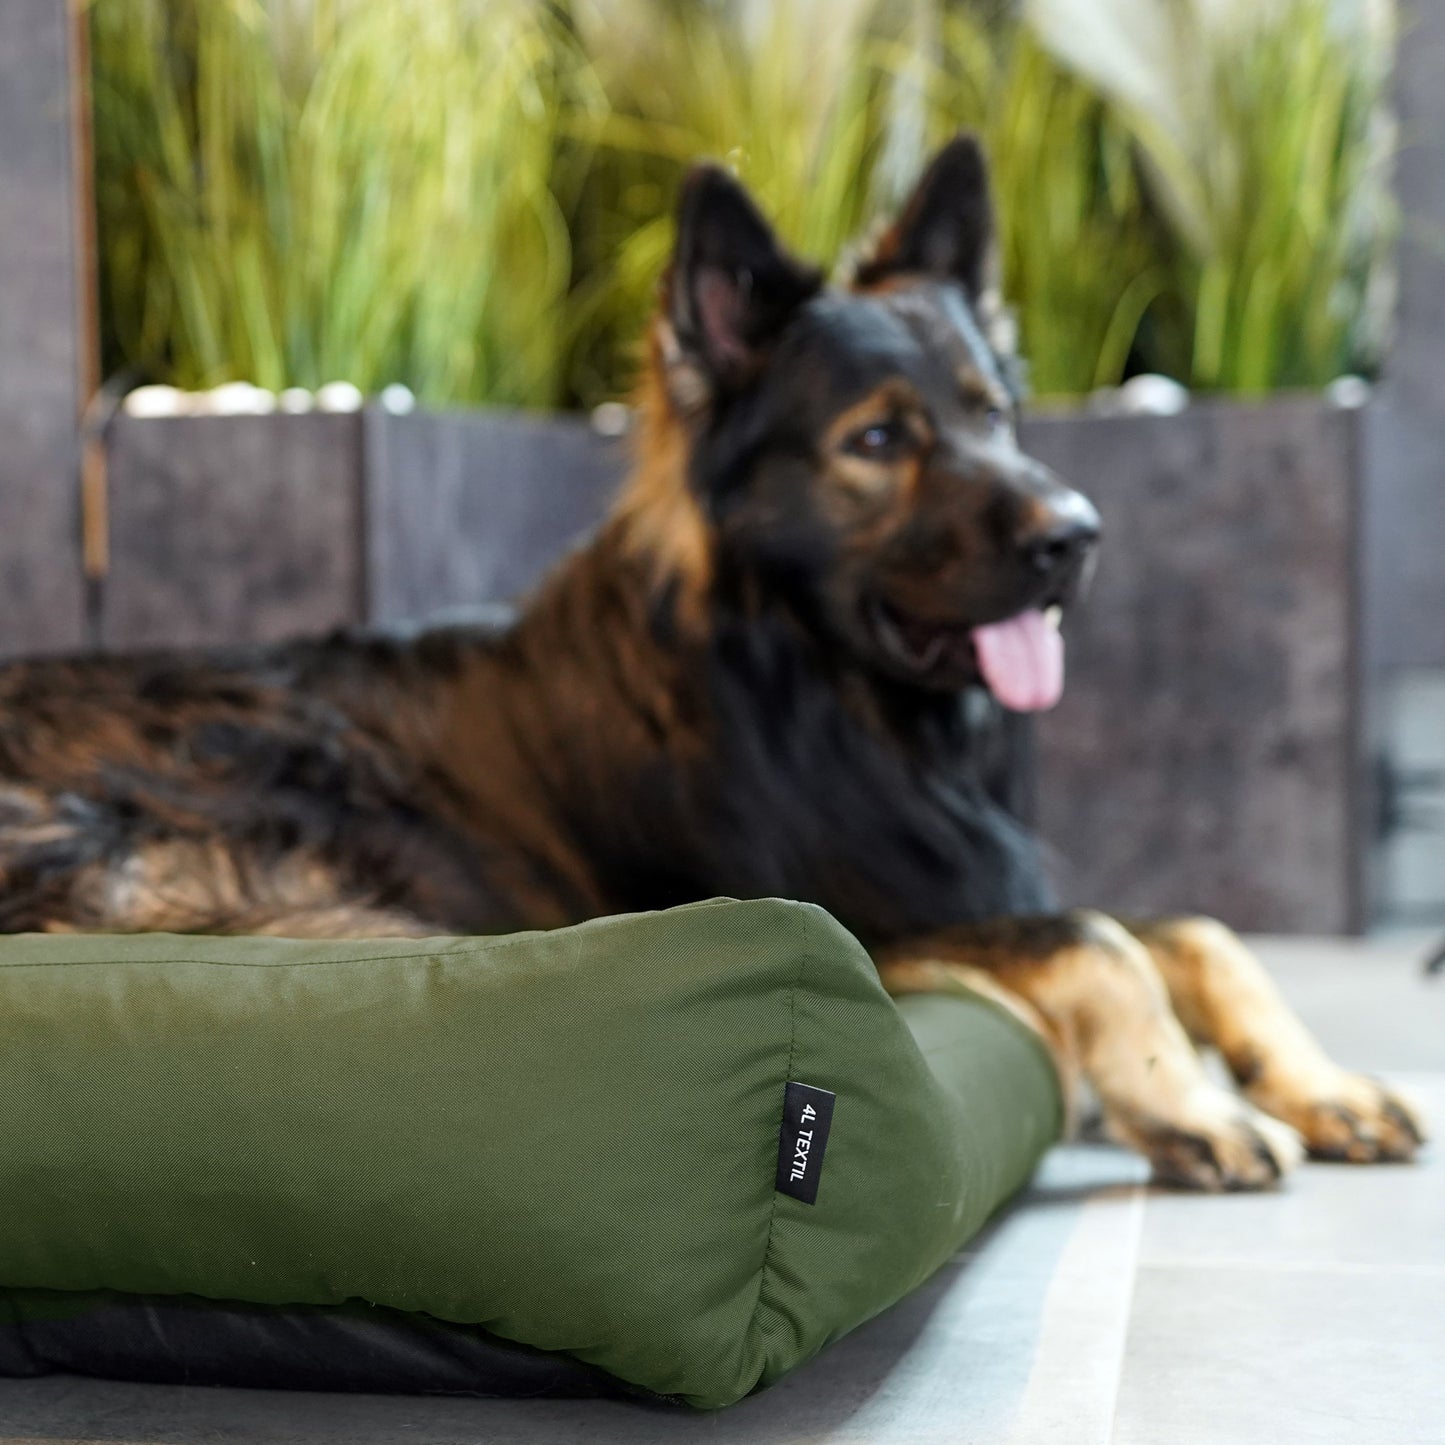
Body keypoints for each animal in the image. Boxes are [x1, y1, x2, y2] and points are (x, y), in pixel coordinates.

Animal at [0, 140, 1421, 1190]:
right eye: (878, 439)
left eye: (994, 413)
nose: (1077, 534)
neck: (815, 694)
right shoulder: (856, 902)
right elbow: (1097, 941)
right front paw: (1190, 1103)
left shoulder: (968, 872)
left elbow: (1193, 929)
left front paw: (1318, 1083)